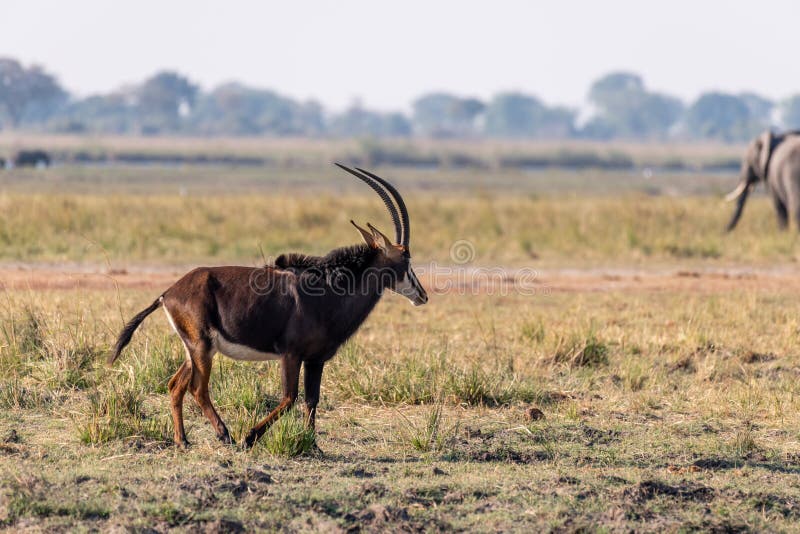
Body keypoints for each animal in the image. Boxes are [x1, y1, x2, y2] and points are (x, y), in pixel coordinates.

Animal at [111, 165, 432, 450]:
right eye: (406, 257)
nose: (422, 295)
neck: (328, 291)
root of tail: (167, 293)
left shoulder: (316, 360)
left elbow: (311, 400)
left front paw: (313, 446)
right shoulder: (290, 354)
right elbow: (289, 398)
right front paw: (250, 437)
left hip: (196, 350)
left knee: (176, 385)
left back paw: (183, 441)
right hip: (201, 348)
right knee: (197, 388)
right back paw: (225, 435)